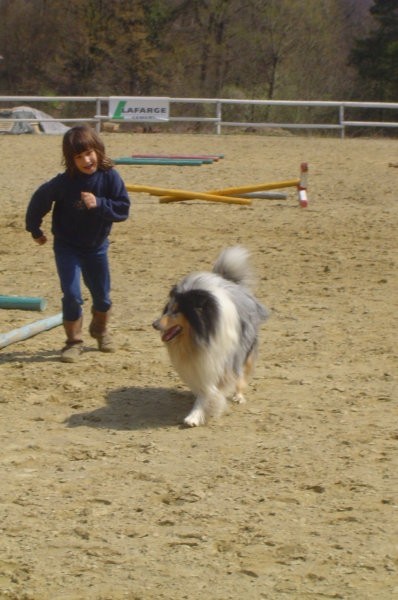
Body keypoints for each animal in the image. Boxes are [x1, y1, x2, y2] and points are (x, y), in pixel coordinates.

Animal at [153, 245, 270, 426]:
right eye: (167, 309)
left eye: (177, 311)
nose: (155, 324)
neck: (201, 334)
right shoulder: (201, 363)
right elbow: (204, 389)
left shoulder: (221, 361)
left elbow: (210, 391)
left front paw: (195, 416)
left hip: (246, 349)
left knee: (242, 375)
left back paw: (238, 396)